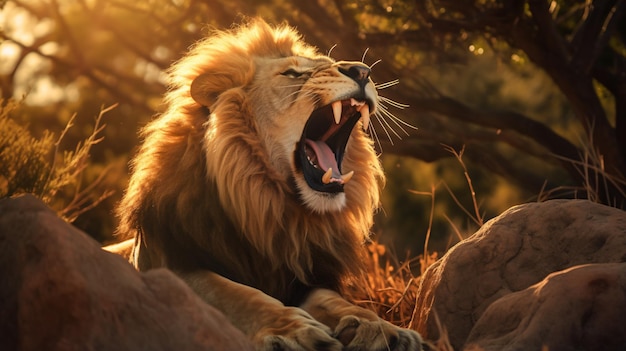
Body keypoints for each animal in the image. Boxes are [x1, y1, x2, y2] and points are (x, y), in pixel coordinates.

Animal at [114, 17, 422, 350]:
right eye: (293, 74)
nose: (362, 71)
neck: (270, 210)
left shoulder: (305, 277)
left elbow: (335, 301)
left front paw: (380, 327)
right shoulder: (164, 263)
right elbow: (234, 293)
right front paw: (293, 330)